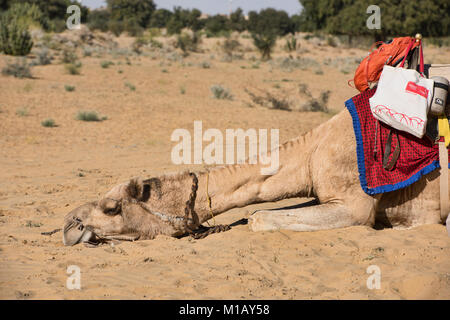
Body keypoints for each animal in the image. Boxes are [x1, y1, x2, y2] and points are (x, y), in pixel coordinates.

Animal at [62, 109, 446, 246]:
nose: (69, 224)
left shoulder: (355, 205)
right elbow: (259, 213)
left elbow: (258, 218)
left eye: (112, 208)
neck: (311, 153)